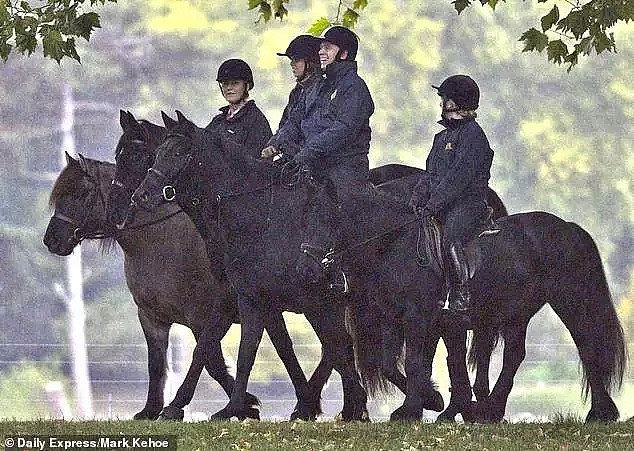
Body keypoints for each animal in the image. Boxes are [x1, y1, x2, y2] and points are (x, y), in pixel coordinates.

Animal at [128, 113, 624, 424]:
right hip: (505, 313)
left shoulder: (323, 304)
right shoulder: (256, 301)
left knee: (581, 343)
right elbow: (248, 350)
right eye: (152, 155)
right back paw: (476, 408)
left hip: (558, 302)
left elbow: (339, 352)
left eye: (178, 154)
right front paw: (233, 407)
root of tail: (563, 225)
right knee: (498, 354)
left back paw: (585, 411)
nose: (140, 198)